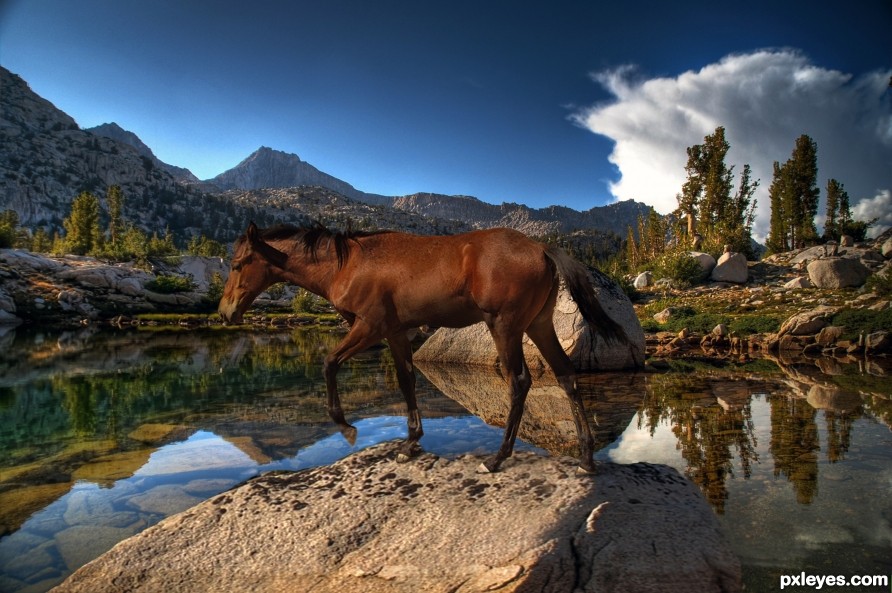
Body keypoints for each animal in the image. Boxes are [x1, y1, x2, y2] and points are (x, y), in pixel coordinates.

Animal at [218, 221, 636, 472]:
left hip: (504, 327)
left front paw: (346, 426)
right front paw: (411, 441)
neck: (346, 264)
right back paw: (586, 457)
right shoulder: (396, 332)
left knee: (520, 382)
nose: (224, 312)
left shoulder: (370, 327)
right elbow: (406, 380)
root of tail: (540, 248)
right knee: (566, 375)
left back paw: (498, 458)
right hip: (538, 324)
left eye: (238, 264)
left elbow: (329, 364)